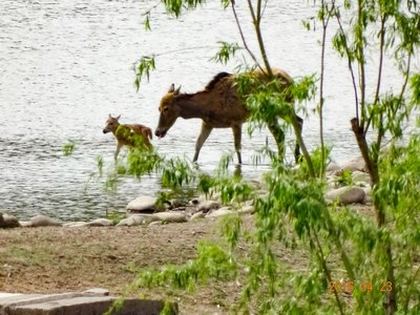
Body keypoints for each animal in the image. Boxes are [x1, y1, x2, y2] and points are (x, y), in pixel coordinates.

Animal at [154, 68, 302, 164]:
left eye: (166, 108)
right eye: (158, 108)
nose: (157, 132)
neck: (205, 108)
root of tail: (292, 82)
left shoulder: (236, 121)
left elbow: (237, 147)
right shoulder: (207, 124)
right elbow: (198, 145)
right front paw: (193, 163)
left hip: (276, 110)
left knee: (283, 133)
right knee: (298, 122)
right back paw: (297, 155)